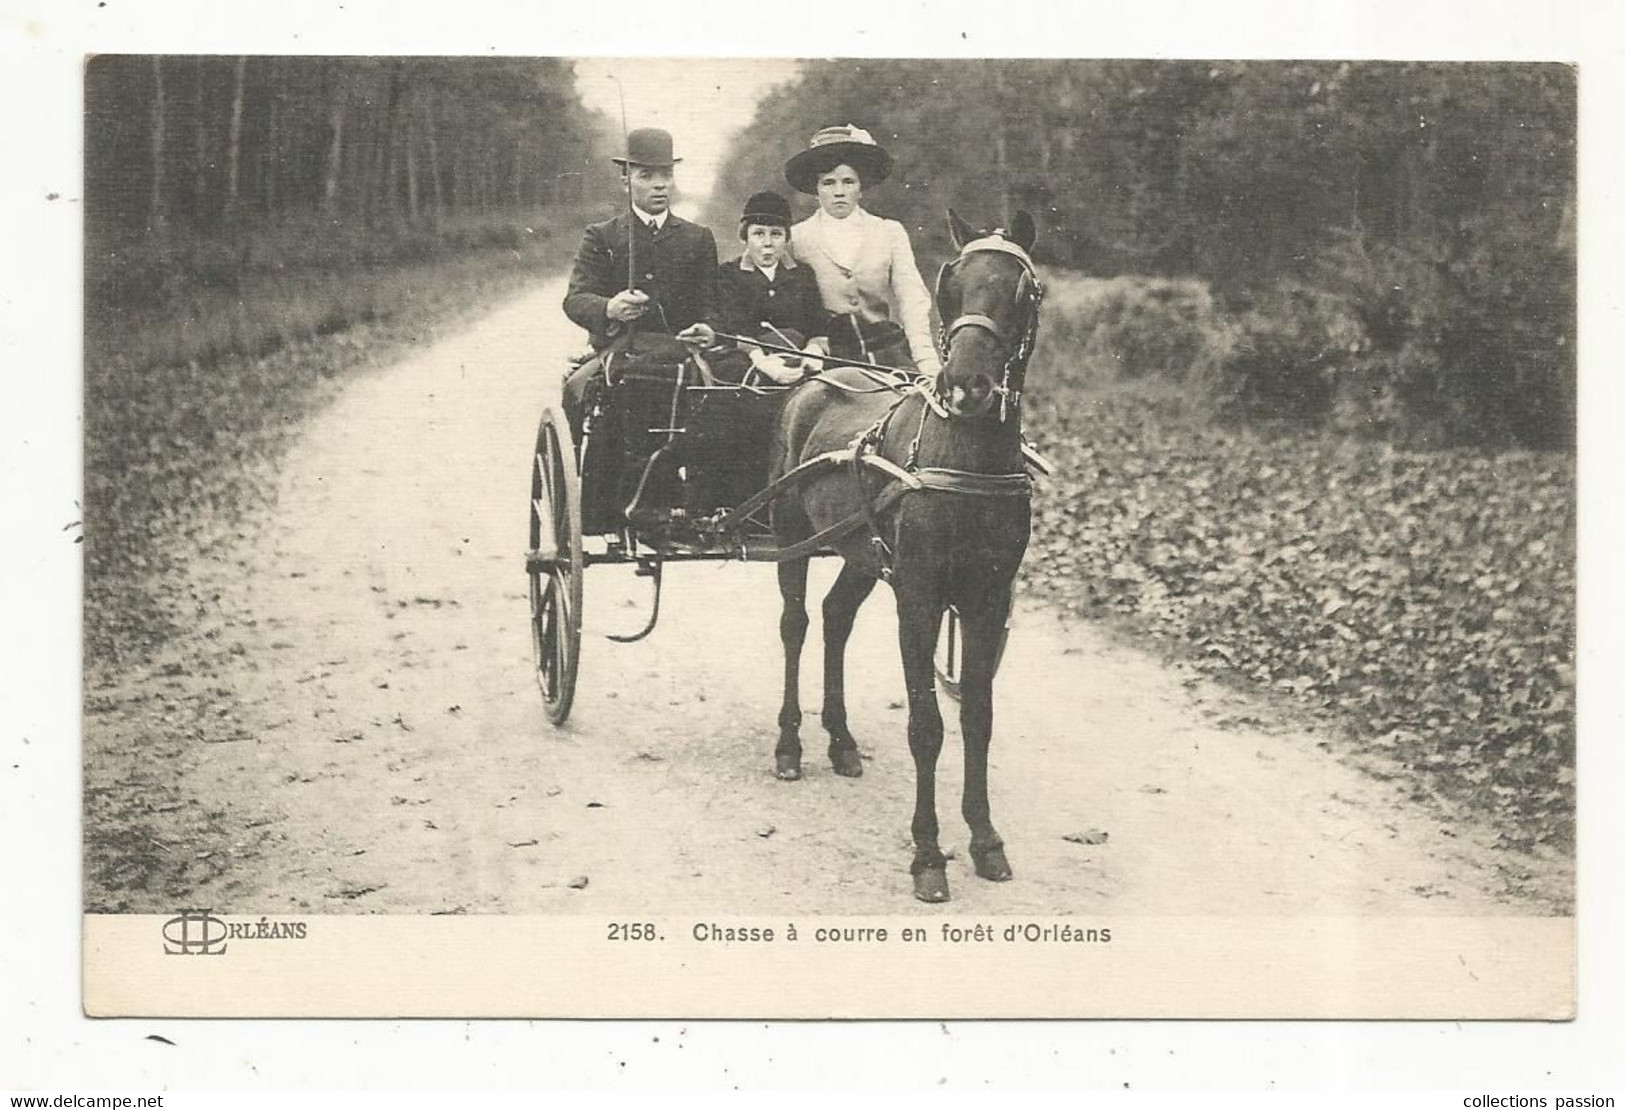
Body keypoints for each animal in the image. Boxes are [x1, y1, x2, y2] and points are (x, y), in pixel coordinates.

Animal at [760, 208, 1040, 903]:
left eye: (1022, 289)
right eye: (952, 281)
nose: (967, 386)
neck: (963, 455)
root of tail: (813, 378)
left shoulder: (986, 600)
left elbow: (977, 716)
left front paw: (985, 839)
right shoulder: (918, 596)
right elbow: (927, 726)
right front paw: (929, 855)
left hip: (860, 553)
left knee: (835, 618)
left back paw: (840, 741)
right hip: (789, 536)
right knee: (796, 624)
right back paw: (789, 745)